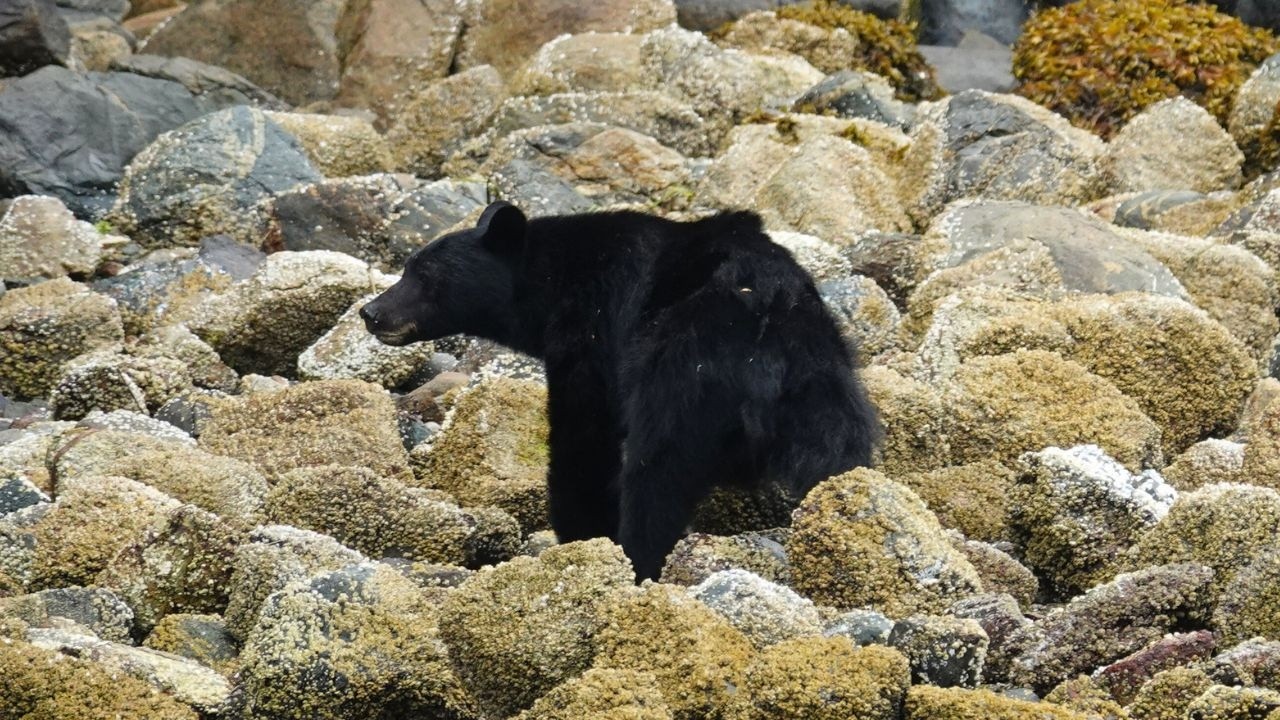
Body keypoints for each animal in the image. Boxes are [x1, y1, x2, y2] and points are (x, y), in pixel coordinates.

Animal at [361, 201, 879, 580]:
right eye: (407, 267)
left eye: (425, 277)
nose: (371, 312)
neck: (551, 283)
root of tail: (765, 317)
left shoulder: (593, 331)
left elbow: (584, 436)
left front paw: (580, 534)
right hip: (823, 382)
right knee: (839, 456)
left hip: (684, 372)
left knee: (657, 473)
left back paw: (640, 557)